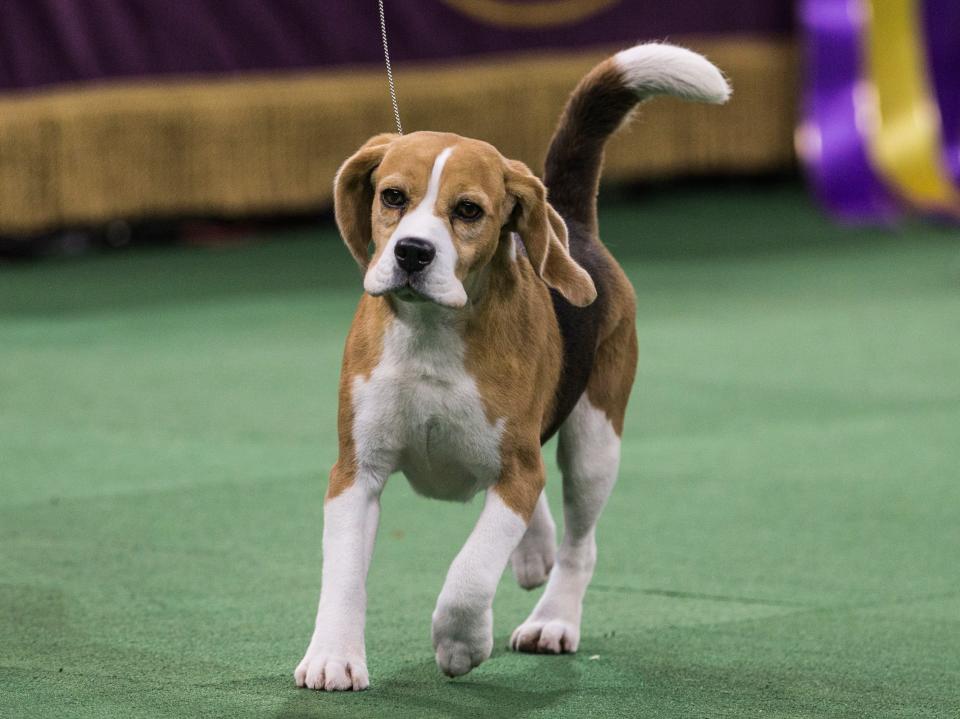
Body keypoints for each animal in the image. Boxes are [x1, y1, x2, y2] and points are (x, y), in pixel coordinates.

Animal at [292, 40, 728, 692]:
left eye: (469, 210)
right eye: (392, 197)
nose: (412, 252)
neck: (432, 332)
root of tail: (573, 223)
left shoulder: (516, 476)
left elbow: (470, 574)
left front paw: (460, 644)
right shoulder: (355, 472)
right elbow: (343, 573)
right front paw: (333, 657)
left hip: (595, 440)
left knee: (579, 544)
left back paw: (554, 619)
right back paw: (534, 553)